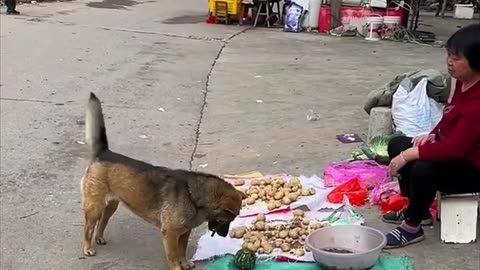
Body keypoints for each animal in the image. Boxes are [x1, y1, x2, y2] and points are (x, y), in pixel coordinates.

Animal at [80, 93, 246, 270]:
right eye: (226, 220)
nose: (224, 235)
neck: (194, 197)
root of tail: (104, 153)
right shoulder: (170, 233)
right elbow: (174, 255)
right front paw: (178, 266)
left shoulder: (184, 232)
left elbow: (182, 250)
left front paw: (185, 262)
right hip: (94, 207)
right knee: (88, 227)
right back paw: (87, 247)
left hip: (112, 204)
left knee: (103, 220)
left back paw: (99, 237)